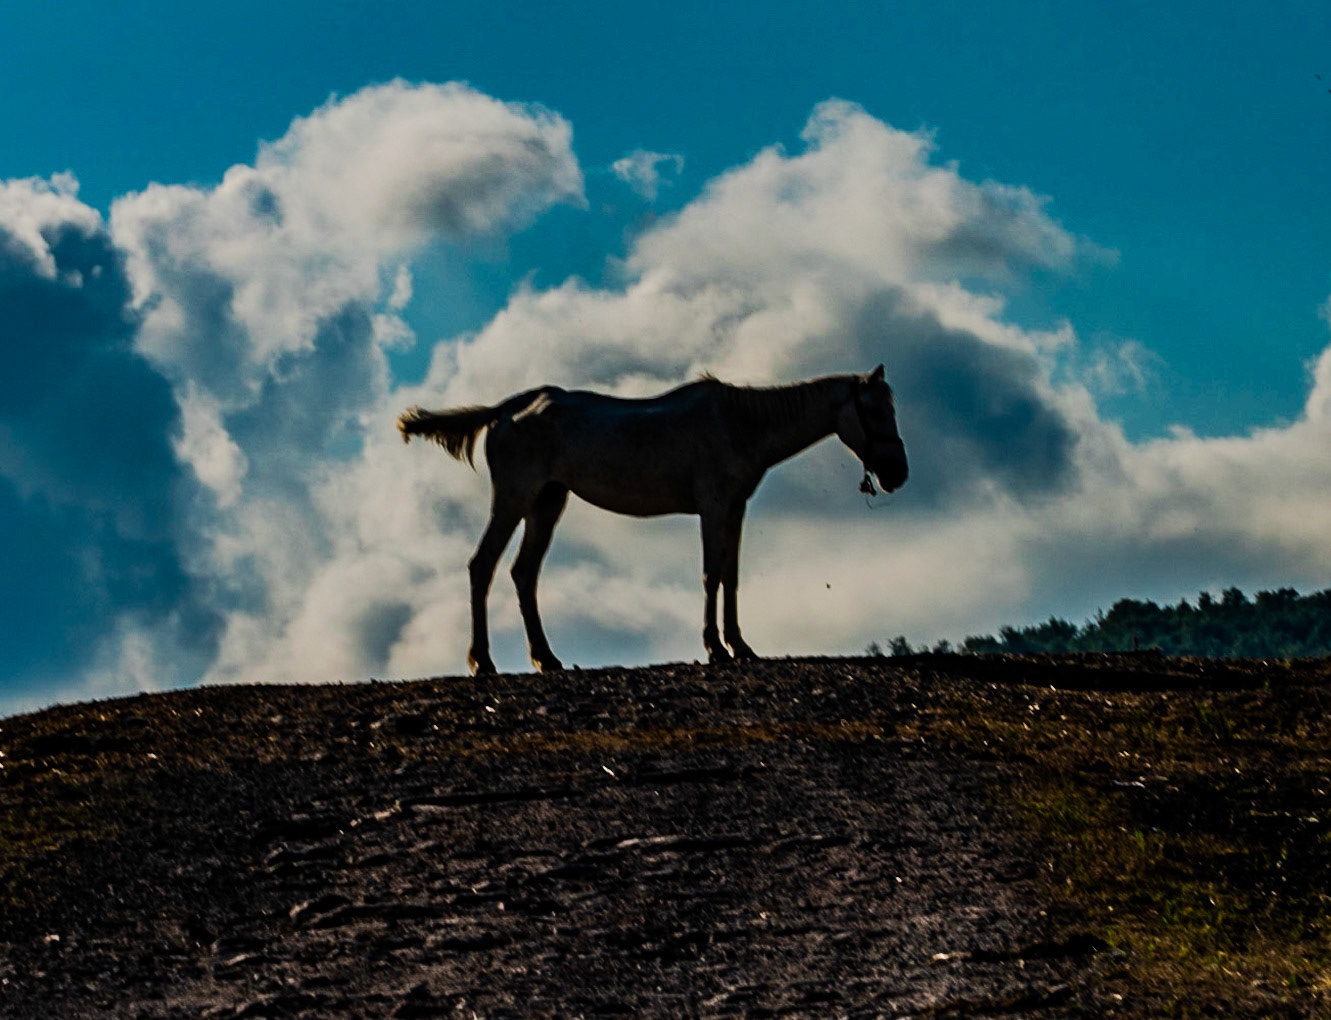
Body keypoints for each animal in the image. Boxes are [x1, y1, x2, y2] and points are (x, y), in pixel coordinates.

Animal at [398, 365, 908, 675]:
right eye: (874, 409)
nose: (897, 473)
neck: (740, 424)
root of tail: (506, 410)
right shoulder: (713, 506)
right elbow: (710, 574)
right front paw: (715, 648)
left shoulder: (735, 510)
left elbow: (731, 576)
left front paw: (741, 646)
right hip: (514, 499)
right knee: (481, 566)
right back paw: (482, 662)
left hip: (547, 502)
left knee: (523, 574)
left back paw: (547, 659)